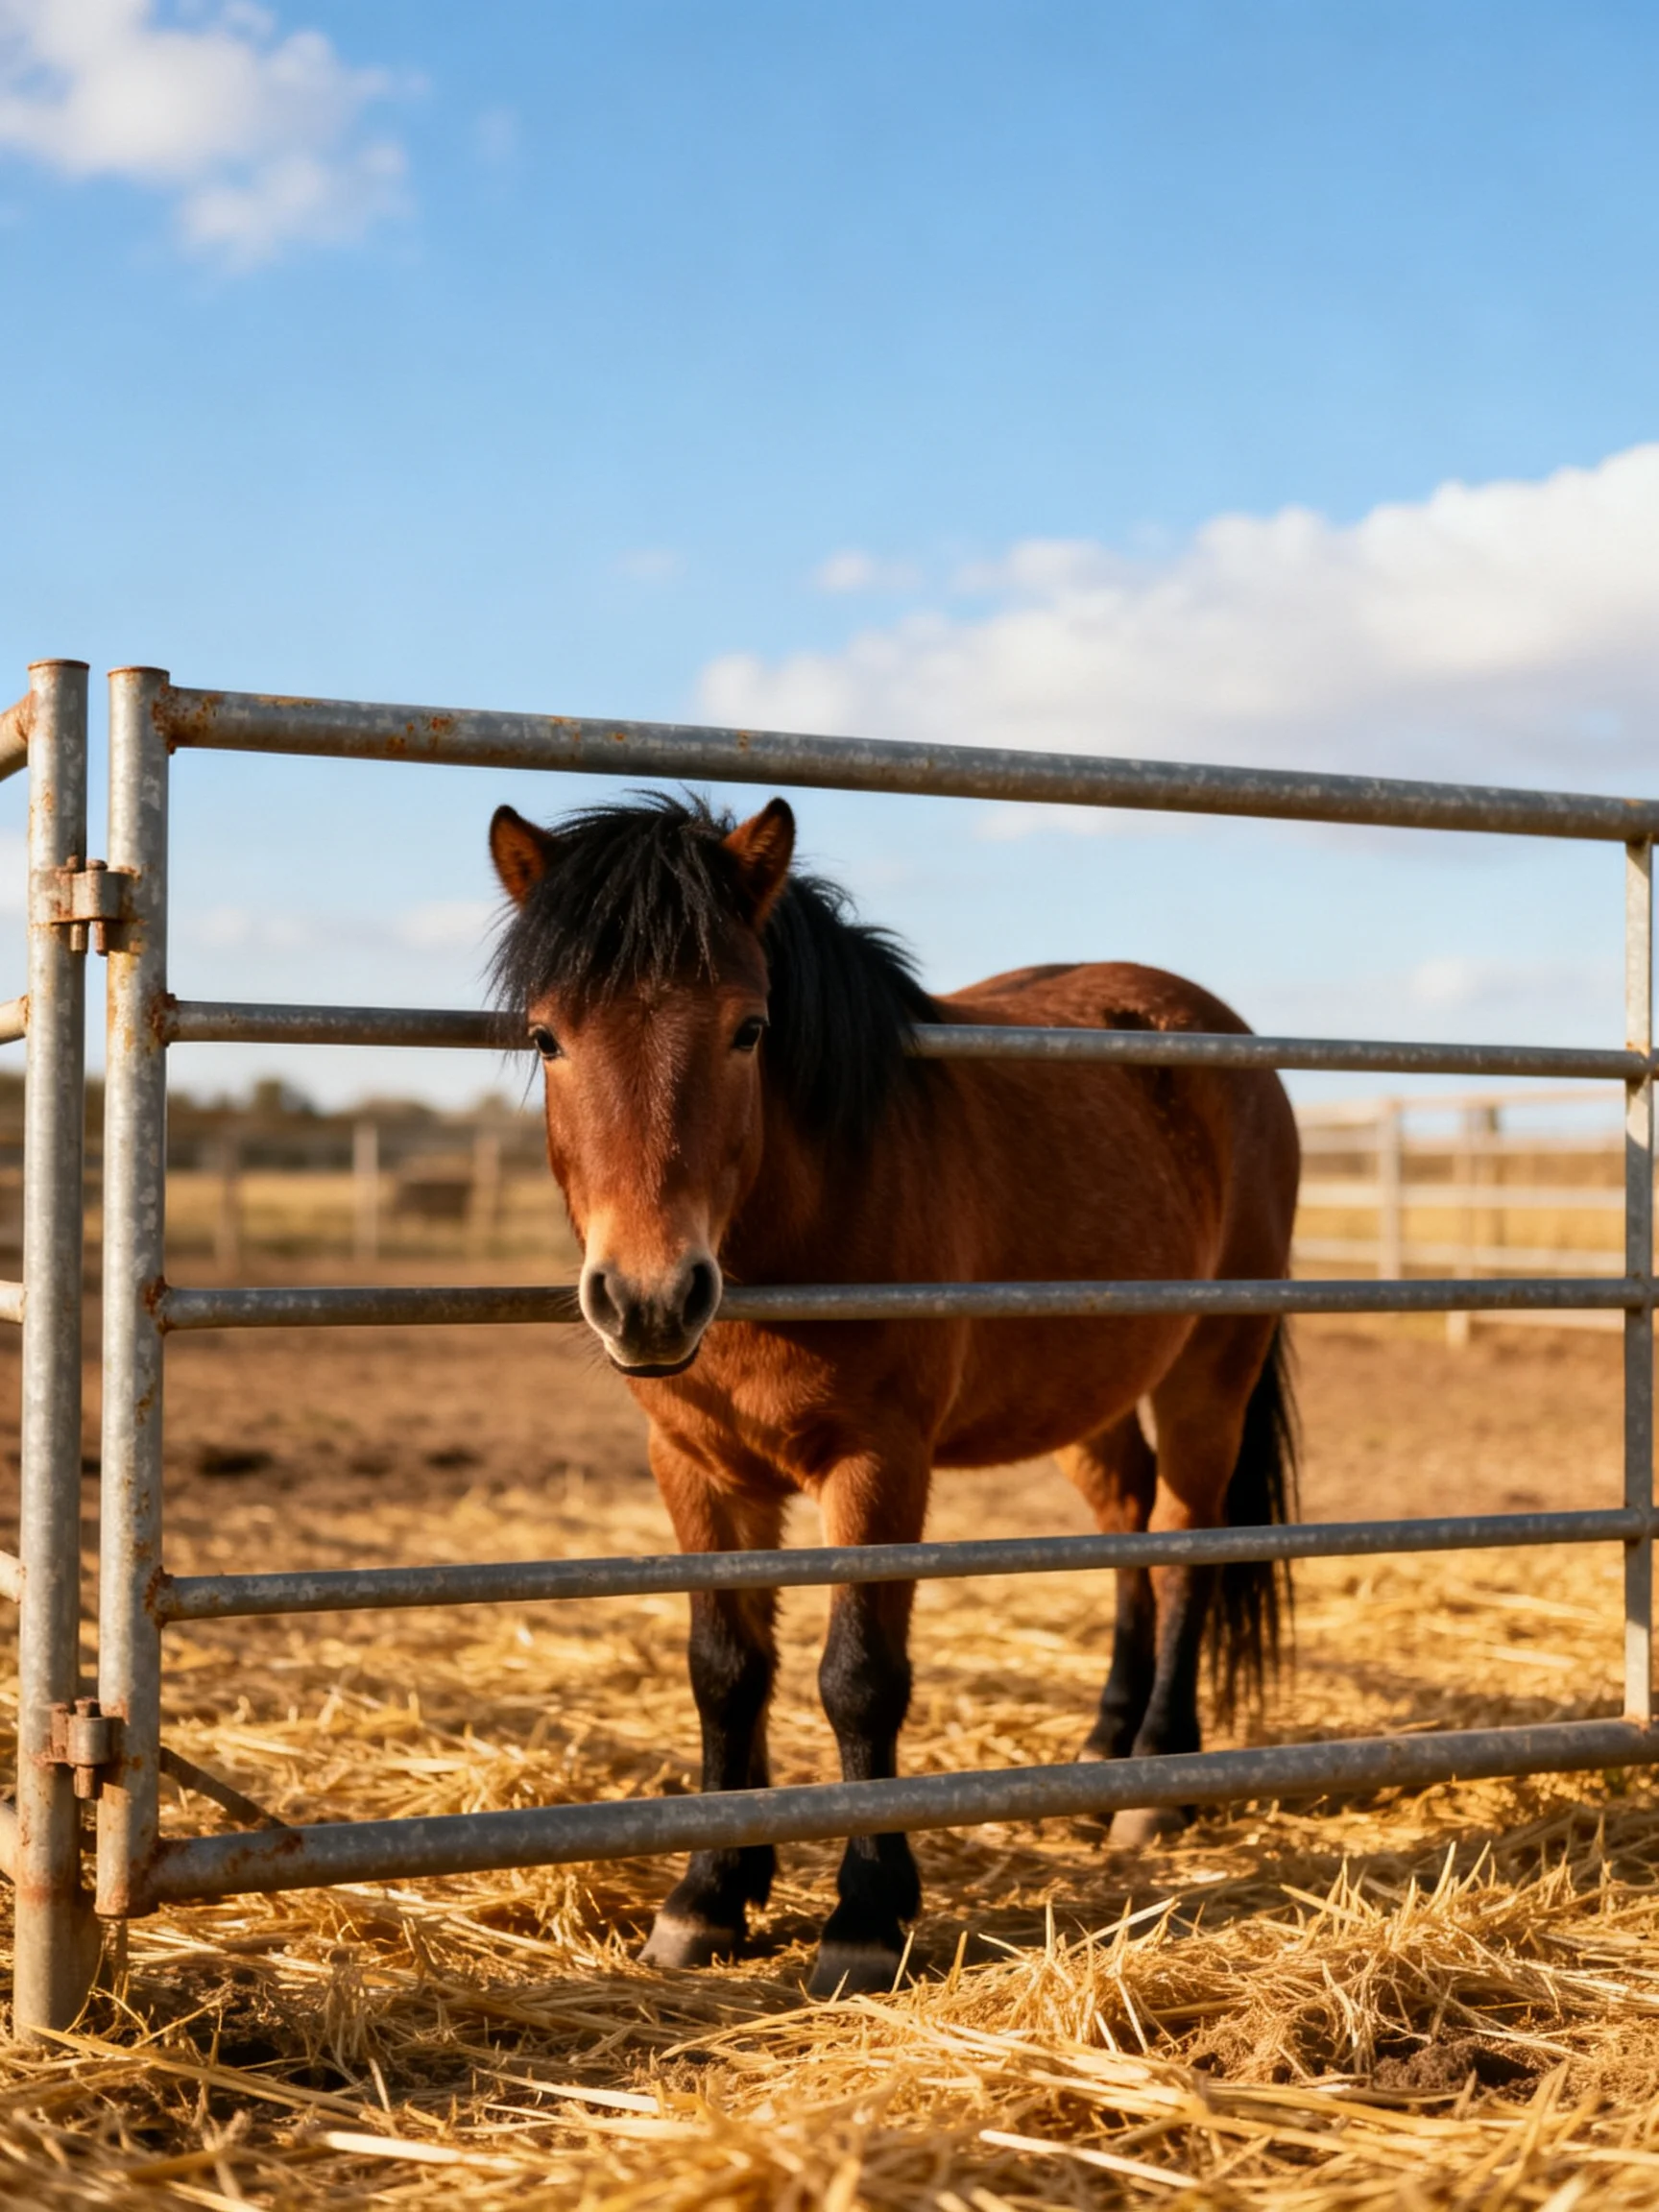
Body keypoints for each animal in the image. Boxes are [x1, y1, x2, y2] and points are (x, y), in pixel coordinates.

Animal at [488, 790, 1300, 1997]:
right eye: (549, 1035)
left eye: (749, 1029)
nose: (648, 1300)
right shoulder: (698, 1471)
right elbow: (725, 1671)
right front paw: (709, 1896)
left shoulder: (878, 1464)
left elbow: (859, 1678)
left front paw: (865, 1918)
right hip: (1095, 1391)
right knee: (1128, 1527)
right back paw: (1105, 1748)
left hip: (1213, 1369)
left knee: (1188, 1542)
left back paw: (1156, 1782)